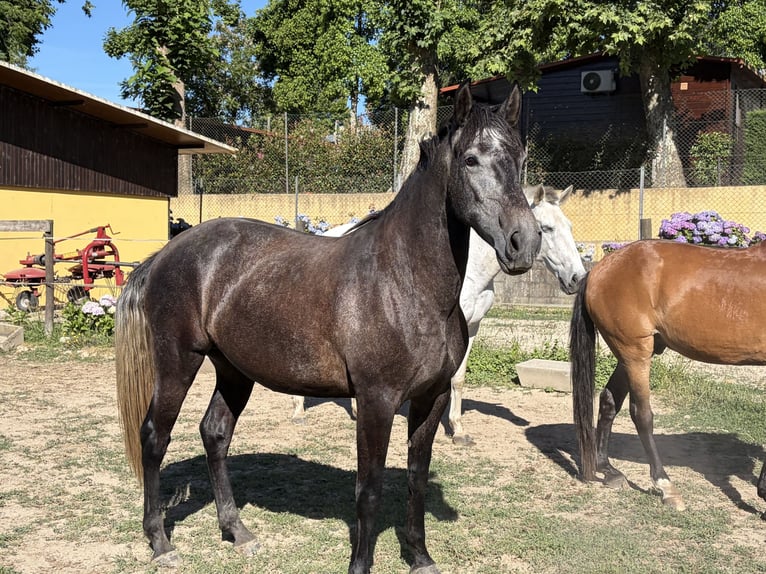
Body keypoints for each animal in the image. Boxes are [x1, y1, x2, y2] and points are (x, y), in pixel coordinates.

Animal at [115, 83, 541, 574]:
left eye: (520, 157)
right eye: (471, 159)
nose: (524, 243)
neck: (404, 281)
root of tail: (167, 252)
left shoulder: (430, 398)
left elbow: (415, 476)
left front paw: (419, 556)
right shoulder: (376, 401)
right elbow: (369, 488)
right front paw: (361, 565)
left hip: (234, 370)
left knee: (215, 433)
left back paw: (237, 531)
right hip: (178, 361)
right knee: (154, 436)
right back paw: (160, 541)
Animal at [290, 184, 586, 448]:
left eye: (570, 226)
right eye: (545, 229)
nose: (577, 278)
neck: (470, 270)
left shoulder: (473, 327)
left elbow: (460, 378)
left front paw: (459, 431)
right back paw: (298, 413)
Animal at [569, 239, 766, 512]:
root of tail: (599, 269)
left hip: (630, 354)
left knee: (609, 400)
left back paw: (609, 470)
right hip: (635, 352)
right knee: (641, 414)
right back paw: (665, 486)